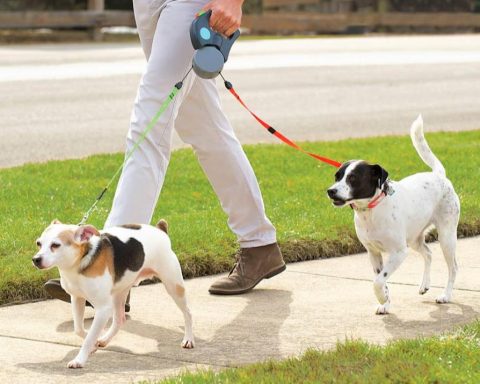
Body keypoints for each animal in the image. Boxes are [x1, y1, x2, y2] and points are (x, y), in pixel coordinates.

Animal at [32, 218, 195, 368]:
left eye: (55, 245)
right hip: (119, 293)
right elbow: (79, 329)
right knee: (119, 320)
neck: (81, 260)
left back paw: (188, 339)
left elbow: (89, 337)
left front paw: (80, 359)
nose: (36, 259)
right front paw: (94, 344)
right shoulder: (77, 298)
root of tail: (160, 230)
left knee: (188, 313)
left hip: (173, 286)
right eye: (38, 243)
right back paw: (104, 339)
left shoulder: (103, 309)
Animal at [328, 117, 460, 316]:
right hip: (414, 239)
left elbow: (378, 281)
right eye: (337, 177)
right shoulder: (373, 252)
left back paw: (446, 295)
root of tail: (438, 176)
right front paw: (385, 301)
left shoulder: (398, 252)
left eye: (353, 178)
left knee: (453, 267)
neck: (371, 211)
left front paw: (382, 298)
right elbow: (381, 280)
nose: (331, 191)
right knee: (428, 253)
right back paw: (424, 285)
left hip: (446, 237)